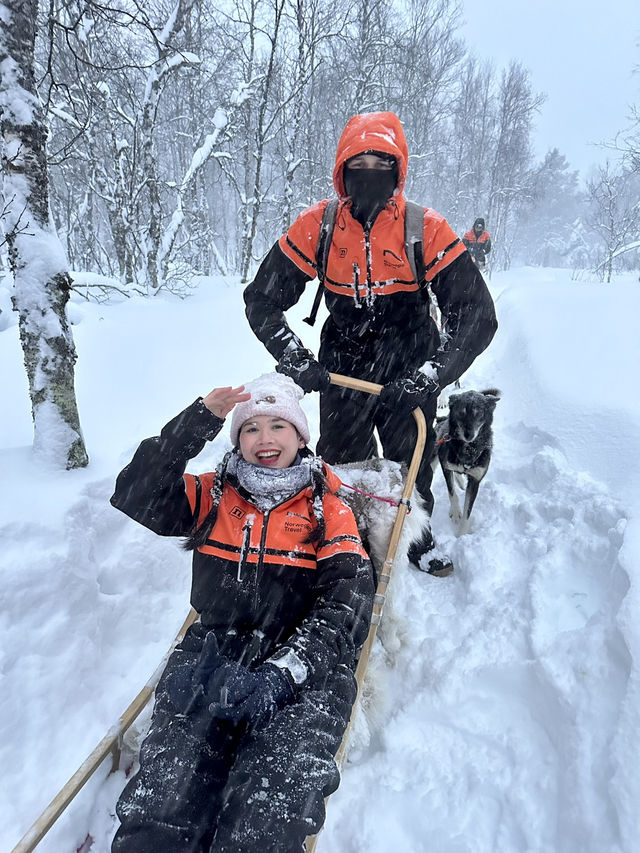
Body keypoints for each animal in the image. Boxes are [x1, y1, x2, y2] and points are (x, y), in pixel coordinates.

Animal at [436, 388, 500, 532]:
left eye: (479, 413)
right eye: (461, 412)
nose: (468, 435)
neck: (469, 449)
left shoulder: (475, 480)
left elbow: (467, 512)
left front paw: (462, 534)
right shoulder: (445, 465)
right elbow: (451, 492)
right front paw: (455, 512)